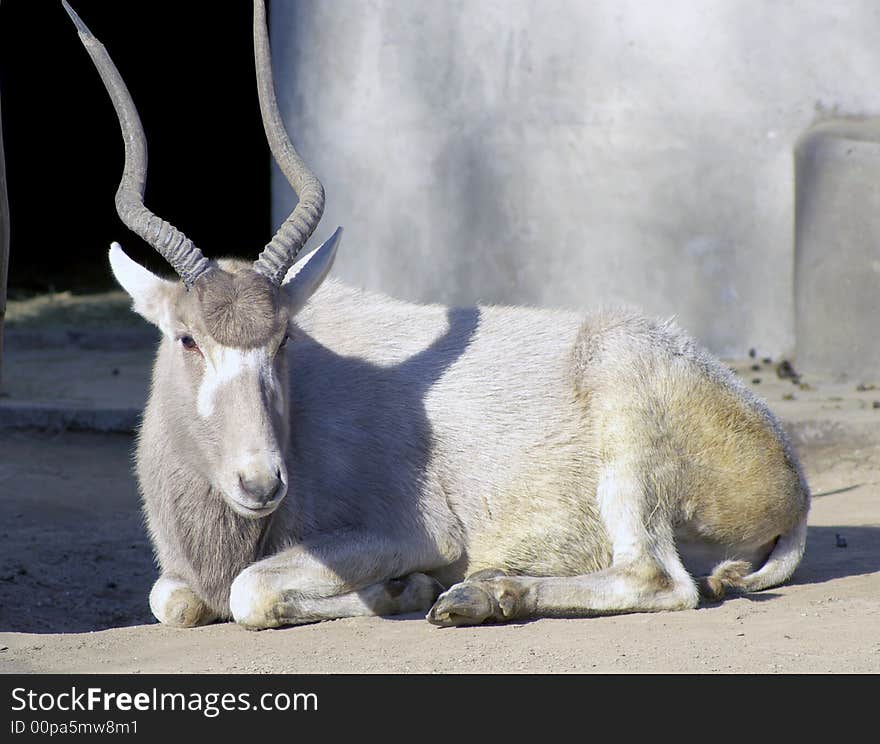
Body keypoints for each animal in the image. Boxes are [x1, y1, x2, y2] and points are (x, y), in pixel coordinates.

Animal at [65, 0, 812, 632]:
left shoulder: (412, 531)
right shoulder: (182, 581)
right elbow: (172, 600)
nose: (261, 483)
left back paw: (481, 594)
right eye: (187, 338)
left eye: (282, 341)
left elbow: (250, 591)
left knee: (661, 580)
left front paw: (407, 588)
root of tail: (794, 483)